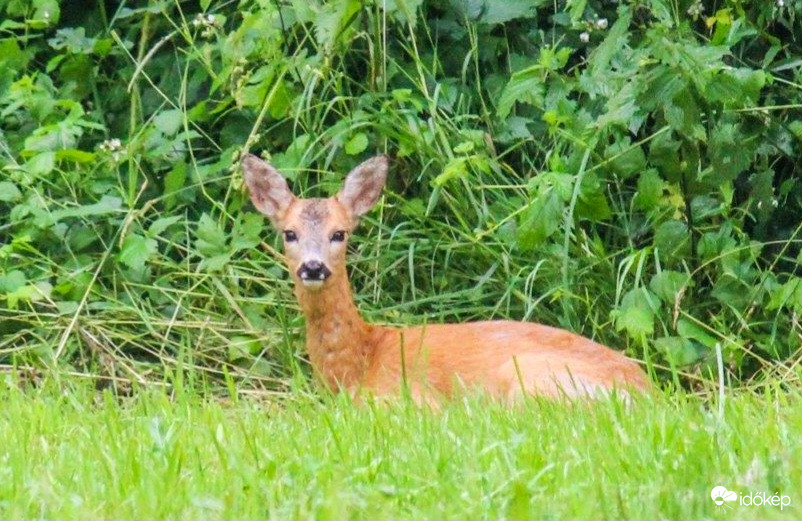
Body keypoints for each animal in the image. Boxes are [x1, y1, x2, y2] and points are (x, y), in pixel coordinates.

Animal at [242, 152, 648, 400]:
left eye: (339, 233)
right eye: (289, 233)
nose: (313, 267)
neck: (358, 366)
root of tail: (647, 397)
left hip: (527, 381)